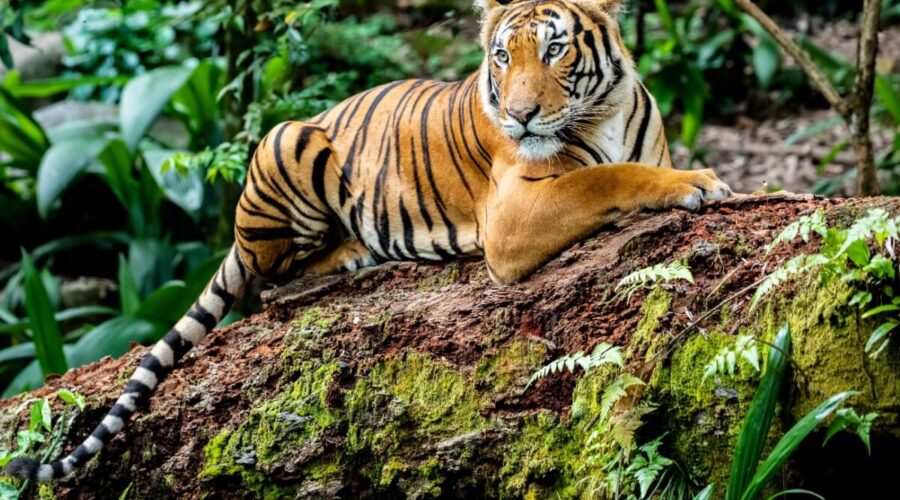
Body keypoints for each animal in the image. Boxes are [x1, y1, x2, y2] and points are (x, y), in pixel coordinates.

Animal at [6, 0, 731, 483]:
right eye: (502, 55)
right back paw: (344, 255)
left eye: (554, 50)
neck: (603, 112)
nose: (521, 114)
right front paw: (698, 182)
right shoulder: (513, 211)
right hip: (288, 142)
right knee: (273, 277)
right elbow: (604, 176)